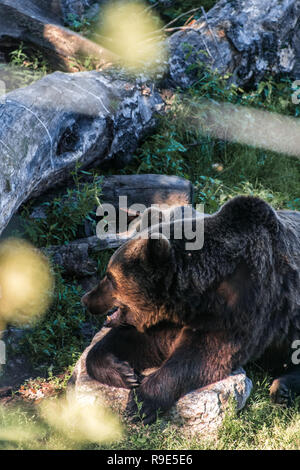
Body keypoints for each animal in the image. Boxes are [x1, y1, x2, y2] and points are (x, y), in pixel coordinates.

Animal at [82, 196, 300, 424]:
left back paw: (281, 388)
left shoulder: (240, 304)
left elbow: (203, 355)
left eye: (110, 278)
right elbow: (133, 342)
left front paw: (141, 402)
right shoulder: (169, 319)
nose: (86, 299)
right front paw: (124, 373)